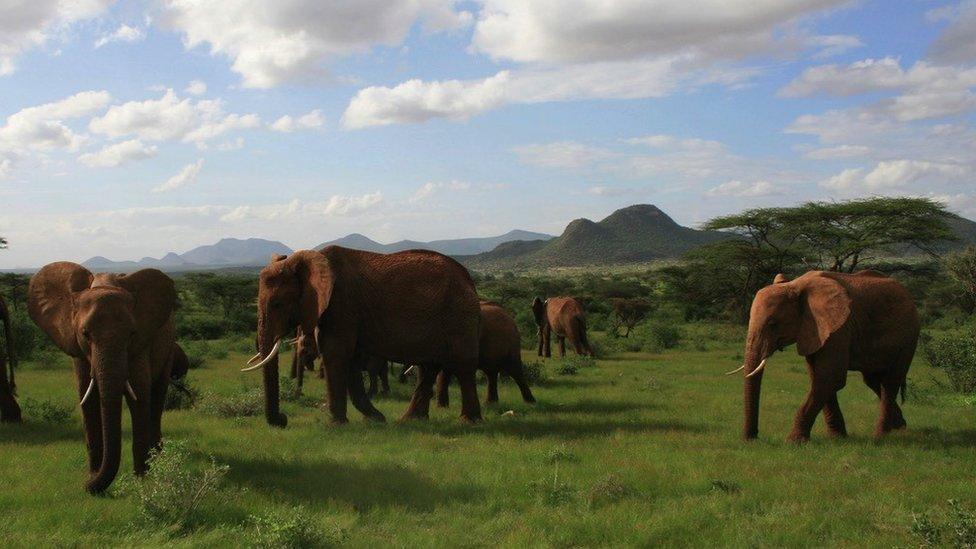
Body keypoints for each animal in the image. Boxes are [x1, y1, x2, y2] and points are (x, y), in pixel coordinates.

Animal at [28, 262, 180, 492]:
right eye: (85, 334)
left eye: (132, 334)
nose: (86, 485)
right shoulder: (78, 349)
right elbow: (87, 398)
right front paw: (92, 475)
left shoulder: (140, 344)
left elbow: (139, 397)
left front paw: (142, 481)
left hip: (169, 345)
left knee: (157, 398)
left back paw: (158, 459)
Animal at [242, 246, 482, 426]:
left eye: (277, 304)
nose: (282, 420)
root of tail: (468, 278)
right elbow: (349, 359)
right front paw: (376, 419)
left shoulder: (342, 302)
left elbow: (336, 352)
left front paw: (337, 425)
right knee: (429, 366)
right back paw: (410, 420)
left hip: (460, 312)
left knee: (463, 364)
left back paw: (469, 422)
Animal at [732, 270, 924, 440]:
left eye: (773, 324)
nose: (752, 438)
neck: (795, 285)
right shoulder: (814, 329)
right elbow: (819, 378)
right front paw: (837, 437)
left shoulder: (838, 328)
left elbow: (830, 378)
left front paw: (794, 441)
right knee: (874, 380)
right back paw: (900, 427)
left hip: (909, 336)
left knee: (891, 381)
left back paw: (880, 435)